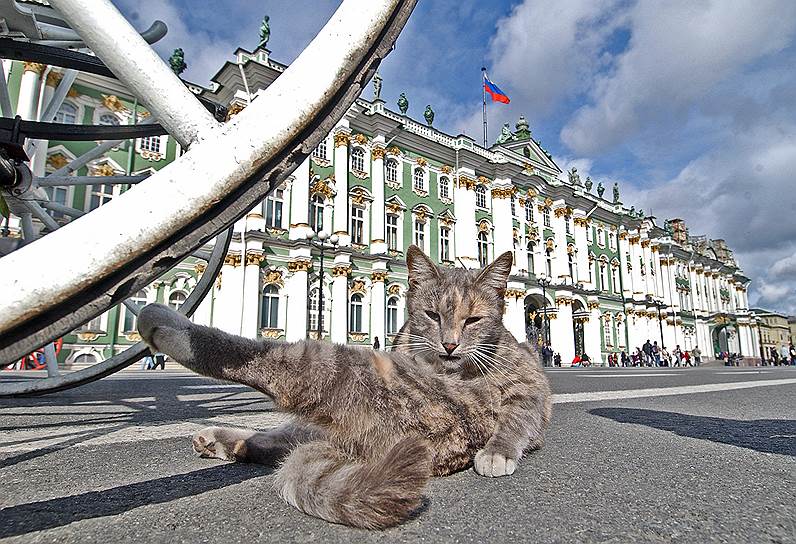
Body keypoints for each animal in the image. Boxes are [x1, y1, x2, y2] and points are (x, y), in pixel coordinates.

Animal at [137, 245, 552, 528]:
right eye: (432, 315)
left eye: (473, 320)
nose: (449, 344)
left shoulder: (526, 385)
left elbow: (519, 417)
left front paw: (498, 452)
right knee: (272, 442)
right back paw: (219, 439)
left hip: (332, 365)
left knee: (270, 367)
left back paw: (168, 325)